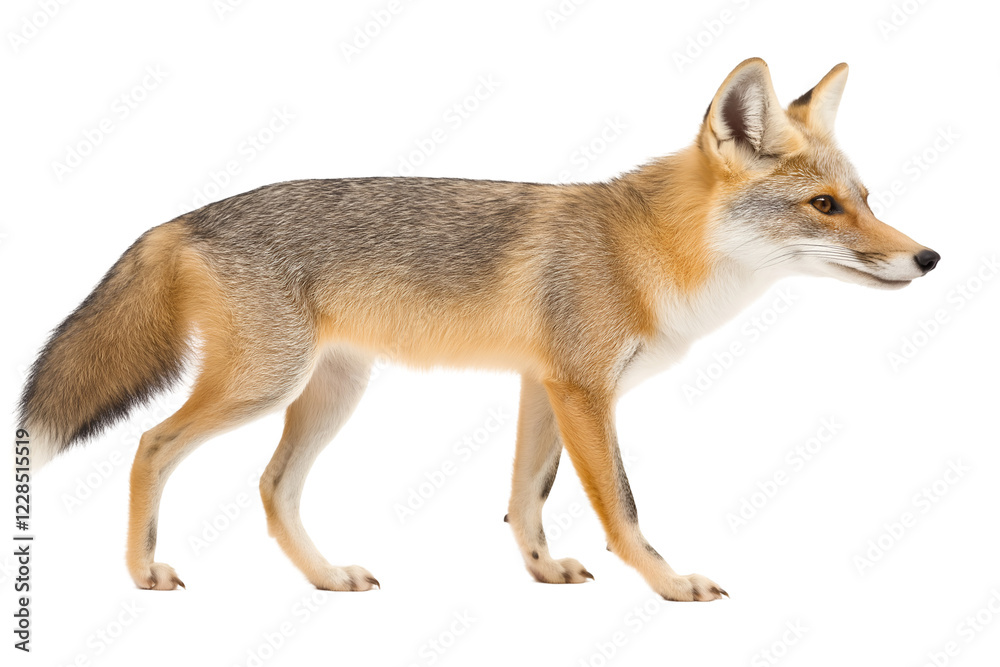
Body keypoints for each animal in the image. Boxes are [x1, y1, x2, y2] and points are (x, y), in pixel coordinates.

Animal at [18, 58, 939, 601]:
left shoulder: (545, 385)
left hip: (329, 393)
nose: (929, 257)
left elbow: (527, 497)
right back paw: (142, 569)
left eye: (866, 198)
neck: (646, 252)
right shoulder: (584, 390)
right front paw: (668, 583)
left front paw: (541, 571)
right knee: (151, 446)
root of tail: (182, 216)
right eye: (823, 205)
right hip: (263, 385)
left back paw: (325, 576)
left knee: (273, 489)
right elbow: (623, 506)